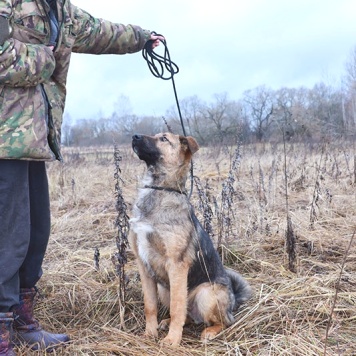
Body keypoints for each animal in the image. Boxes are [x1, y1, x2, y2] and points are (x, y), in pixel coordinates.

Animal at [129, 132, 250, 346]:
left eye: (164, 138)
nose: (134, 136)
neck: (160, 189)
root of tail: (234, 300)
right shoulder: (143, 265)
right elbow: (150, 306)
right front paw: (149, 334)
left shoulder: (177, 265)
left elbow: (177, 308)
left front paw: (172, 340)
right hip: (164, 288)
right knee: (188, 316)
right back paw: (166, 323)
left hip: (205, 293)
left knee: (224, 322)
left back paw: (209, 331)